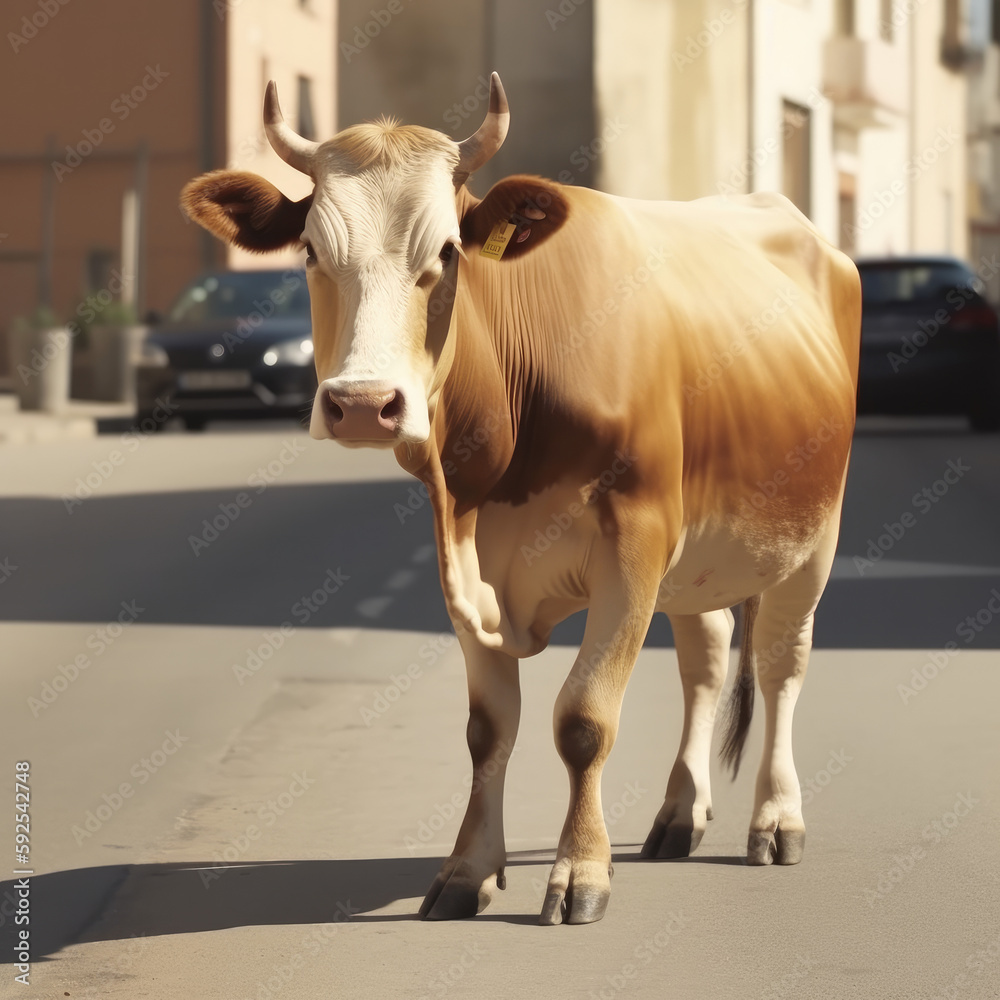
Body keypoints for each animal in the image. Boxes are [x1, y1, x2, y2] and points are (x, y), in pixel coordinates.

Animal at [184, 74, 864, 924]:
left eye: (446, 252)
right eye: (310, 251)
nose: (364, 405)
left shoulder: (635, 547)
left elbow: (583, 720)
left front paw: (581, 871)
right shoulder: (462, 560)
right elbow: (487, 729)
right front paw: (468, 869)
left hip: (813, 539)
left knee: (779, 666)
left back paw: (776, 820)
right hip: (701, 556)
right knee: (705, 661)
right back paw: (681, 812)